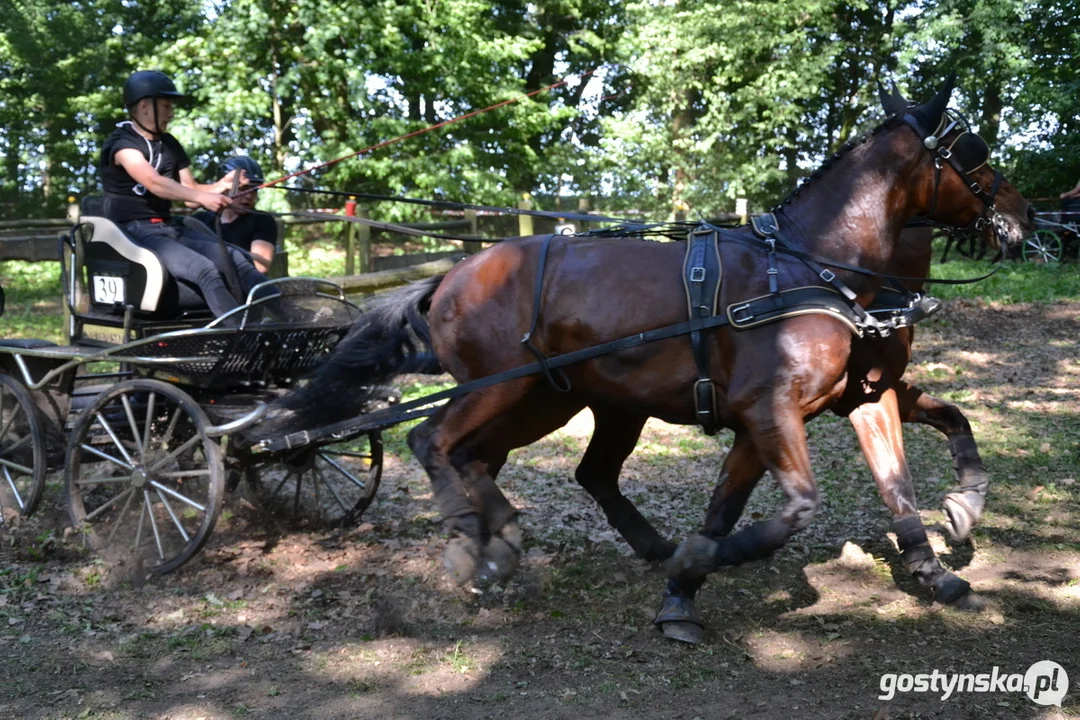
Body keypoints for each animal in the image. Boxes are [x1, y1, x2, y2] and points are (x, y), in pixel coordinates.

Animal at [259, 74, 1028, 626]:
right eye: (974, 152)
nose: (1025, 217)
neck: (809, 267)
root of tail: (451, 274)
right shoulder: (768, 410)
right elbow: (793, 509)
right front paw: (694, 568)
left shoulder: (853, 399)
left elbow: (892, 482)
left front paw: (939, 557)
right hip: (501, 386)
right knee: (433, 441)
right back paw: (471, 549)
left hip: (552, 401)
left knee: (505, 461)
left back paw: (504, 536)